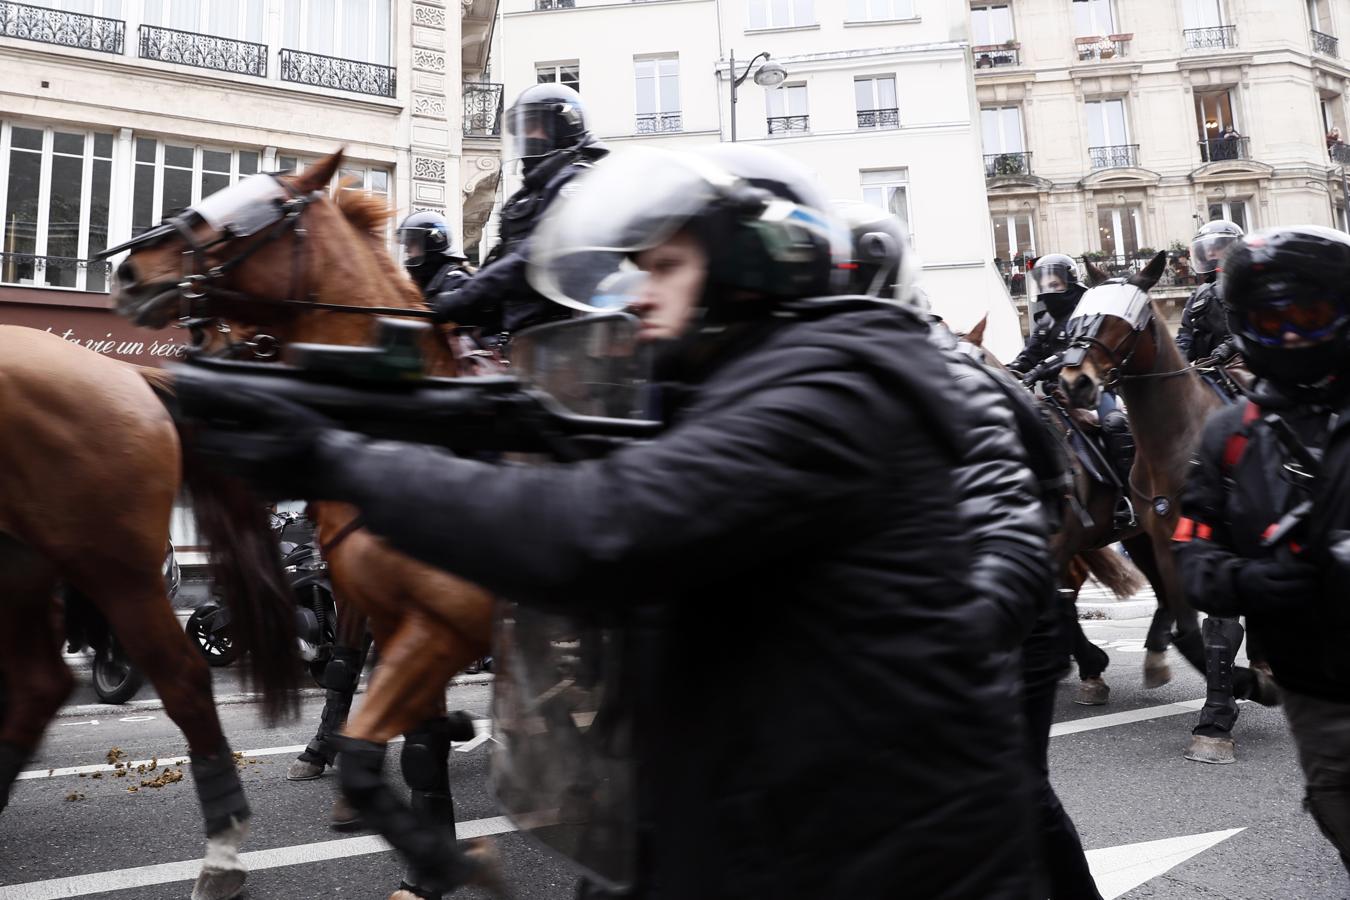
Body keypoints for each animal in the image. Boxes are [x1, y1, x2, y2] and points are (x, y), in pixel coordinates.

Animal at [1053, 252, 1274, 761]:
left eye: (1121, 322)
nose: (1075, 383)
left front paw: (1222, 713)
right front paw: (1232, 696)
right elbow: (1191, 628)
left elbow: (1217, 628)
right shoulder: (1162, 536)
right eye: (1077, 320)